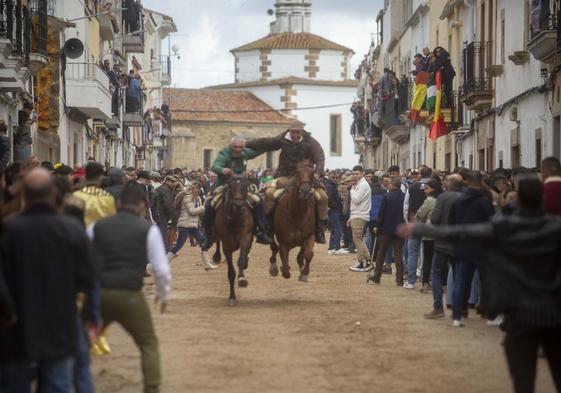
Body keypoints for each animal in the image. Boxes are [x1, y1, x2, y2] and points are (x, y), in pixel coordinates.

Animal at [212, 173, 254, 304]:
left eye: (245, 186)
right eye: (231, 186)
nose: (239, 205)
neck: (235, 218)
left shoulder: (246, 236)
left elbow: (242, 257)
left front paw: (242, 279)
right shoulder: (227, 245)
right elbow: (231, 272)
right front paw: (232, 297)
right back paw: (216, 256)